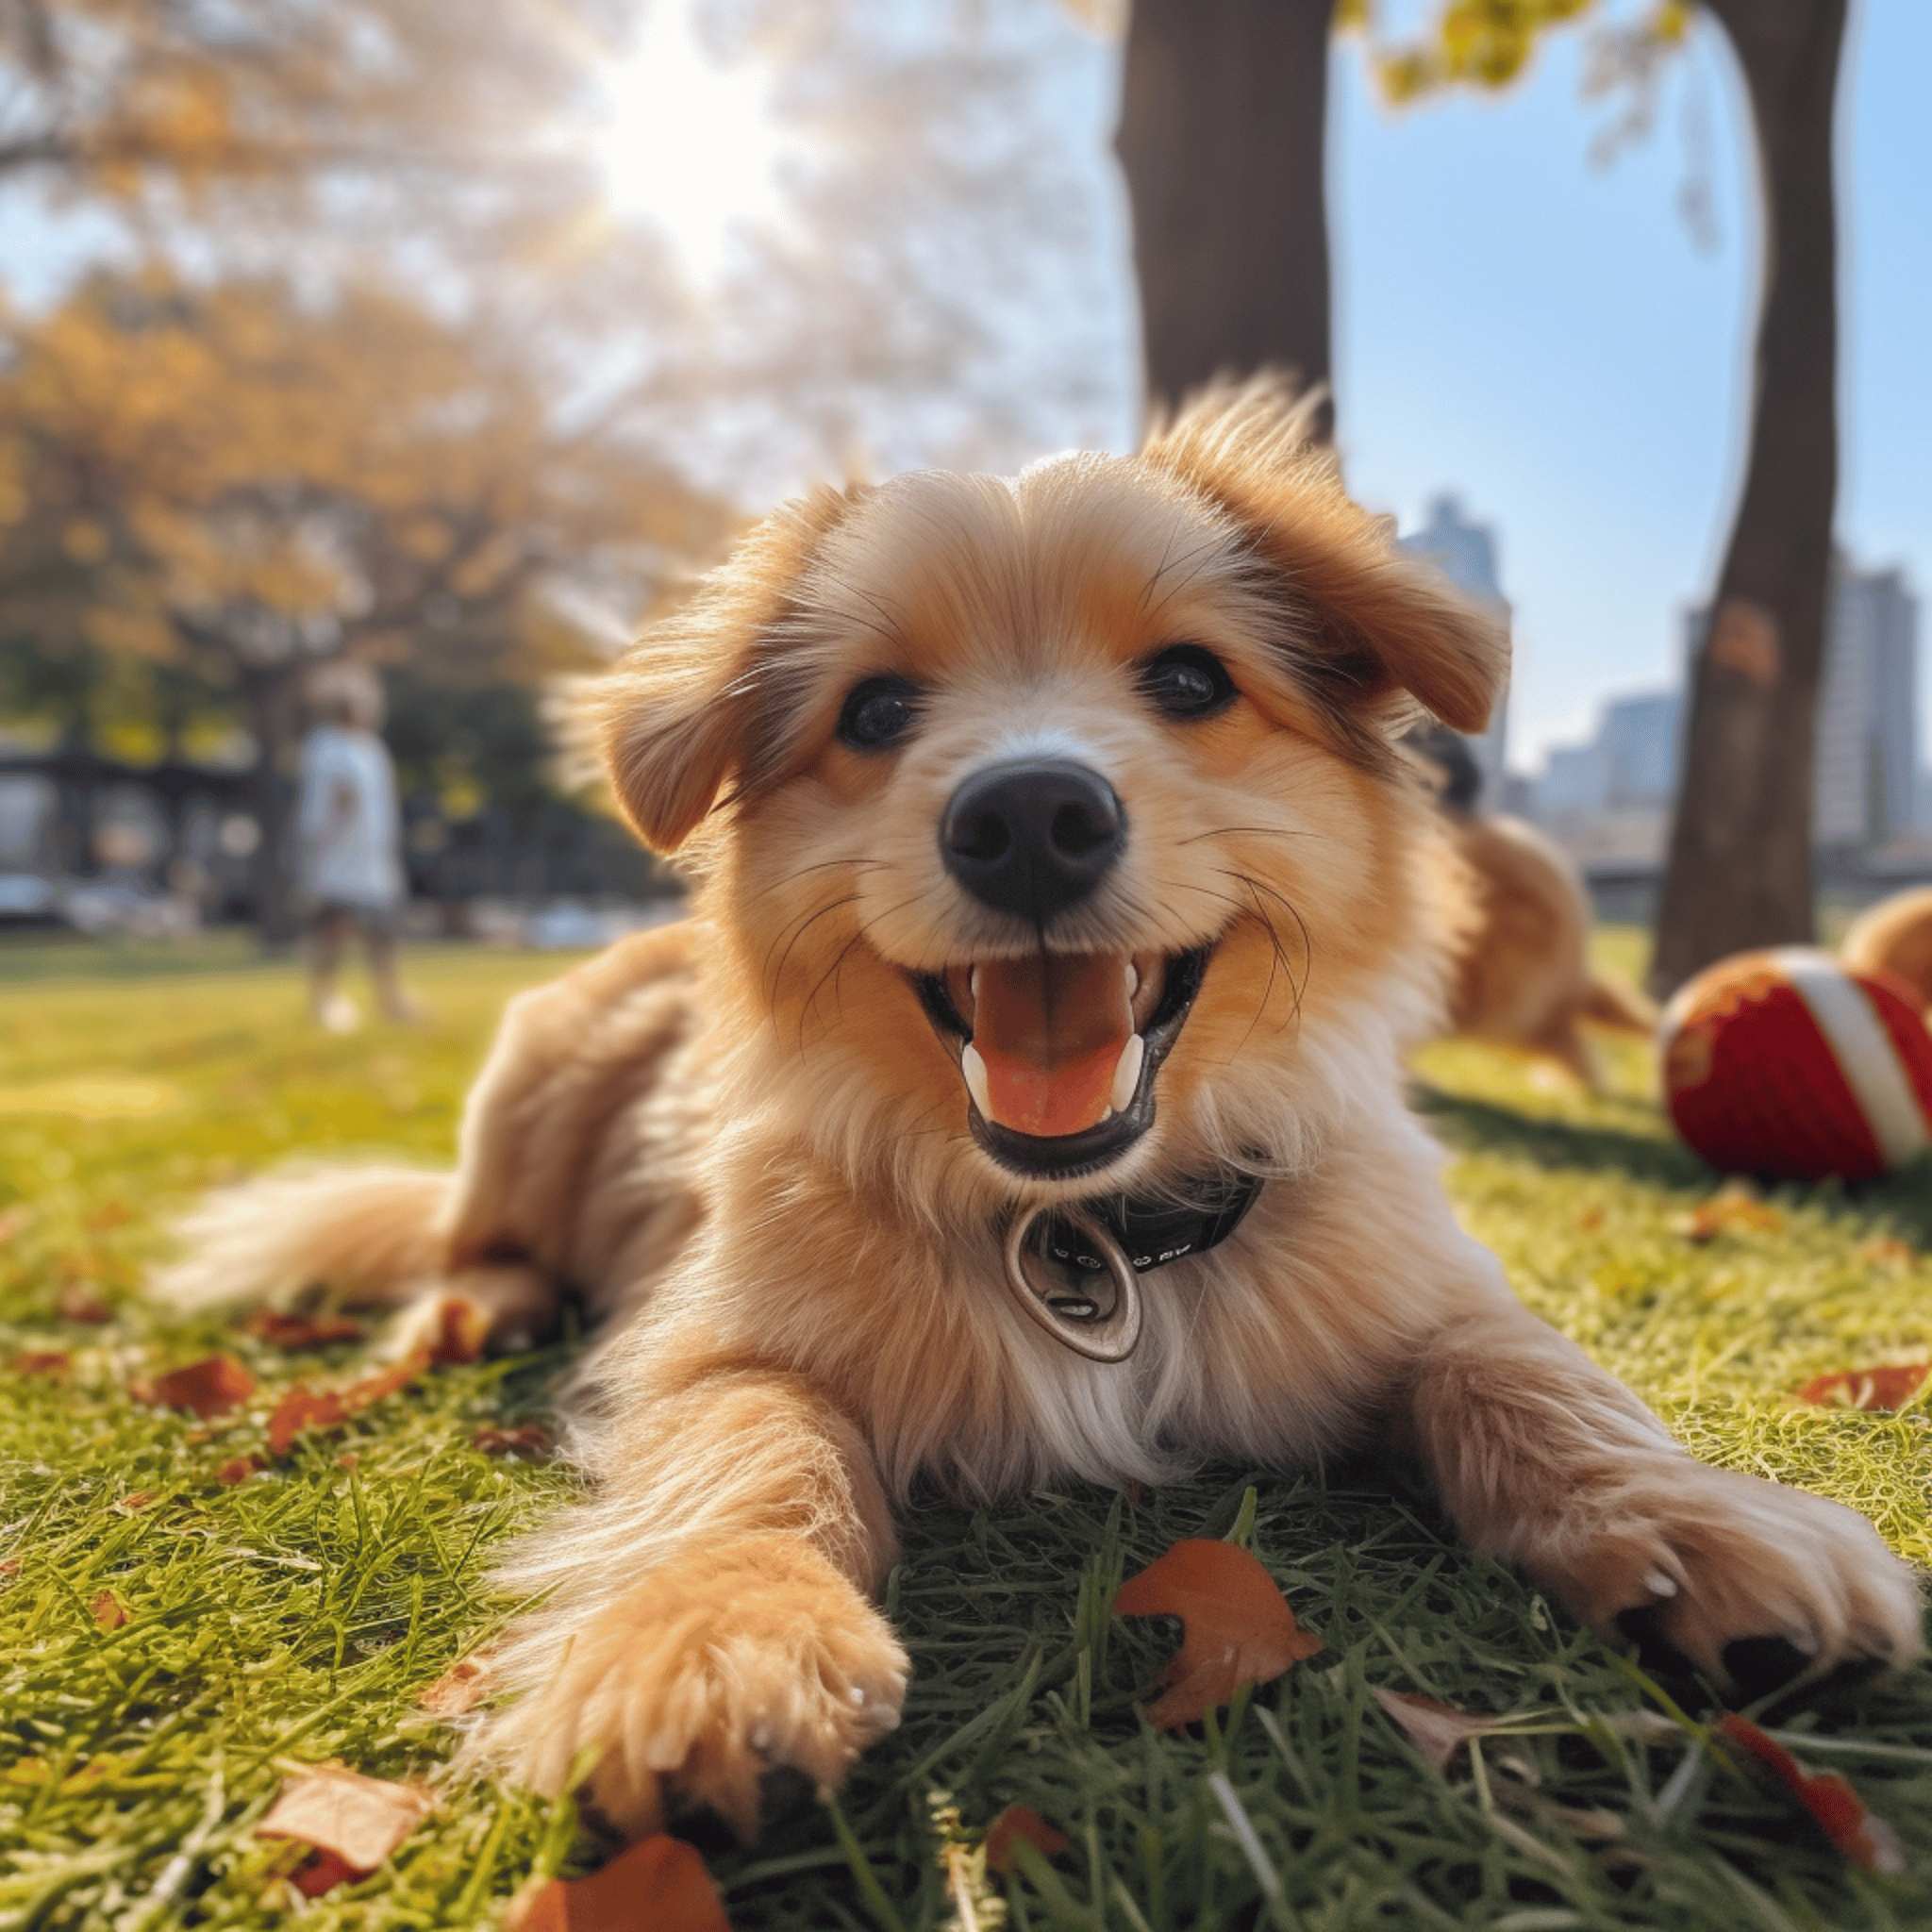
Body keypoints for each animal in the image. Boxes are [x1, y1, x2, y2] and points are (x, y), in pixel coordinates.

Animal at [162, 380, 1916, 1839]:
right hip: (537, 1071)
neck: (1087, 1230)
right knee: (474, 1234)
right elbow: (754, 1449)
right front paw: (712, 1631)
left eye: (1191, 679)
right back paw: (473, 1302)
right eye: (875, 712)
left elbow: (1533, 1377)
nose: (1025, 818)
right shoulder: (710, 1339)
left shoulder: (1421, 1289)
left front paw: (1701, 1517)